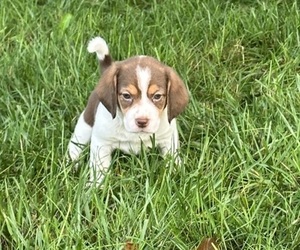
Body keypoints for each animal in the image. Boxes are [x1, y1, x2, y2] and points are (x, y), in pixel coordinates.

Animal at [69, 36, 189, 186]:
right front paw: (95, 187)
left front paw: (177, 175)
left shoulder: (168, 138)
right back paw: (72, 164)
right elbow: (99, 167)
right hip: (86, 123)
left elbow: (172, 158)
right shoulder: (101, 142)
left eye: (157, 96)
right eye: (126, 95)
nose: (142, 121)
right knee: (75, 143)